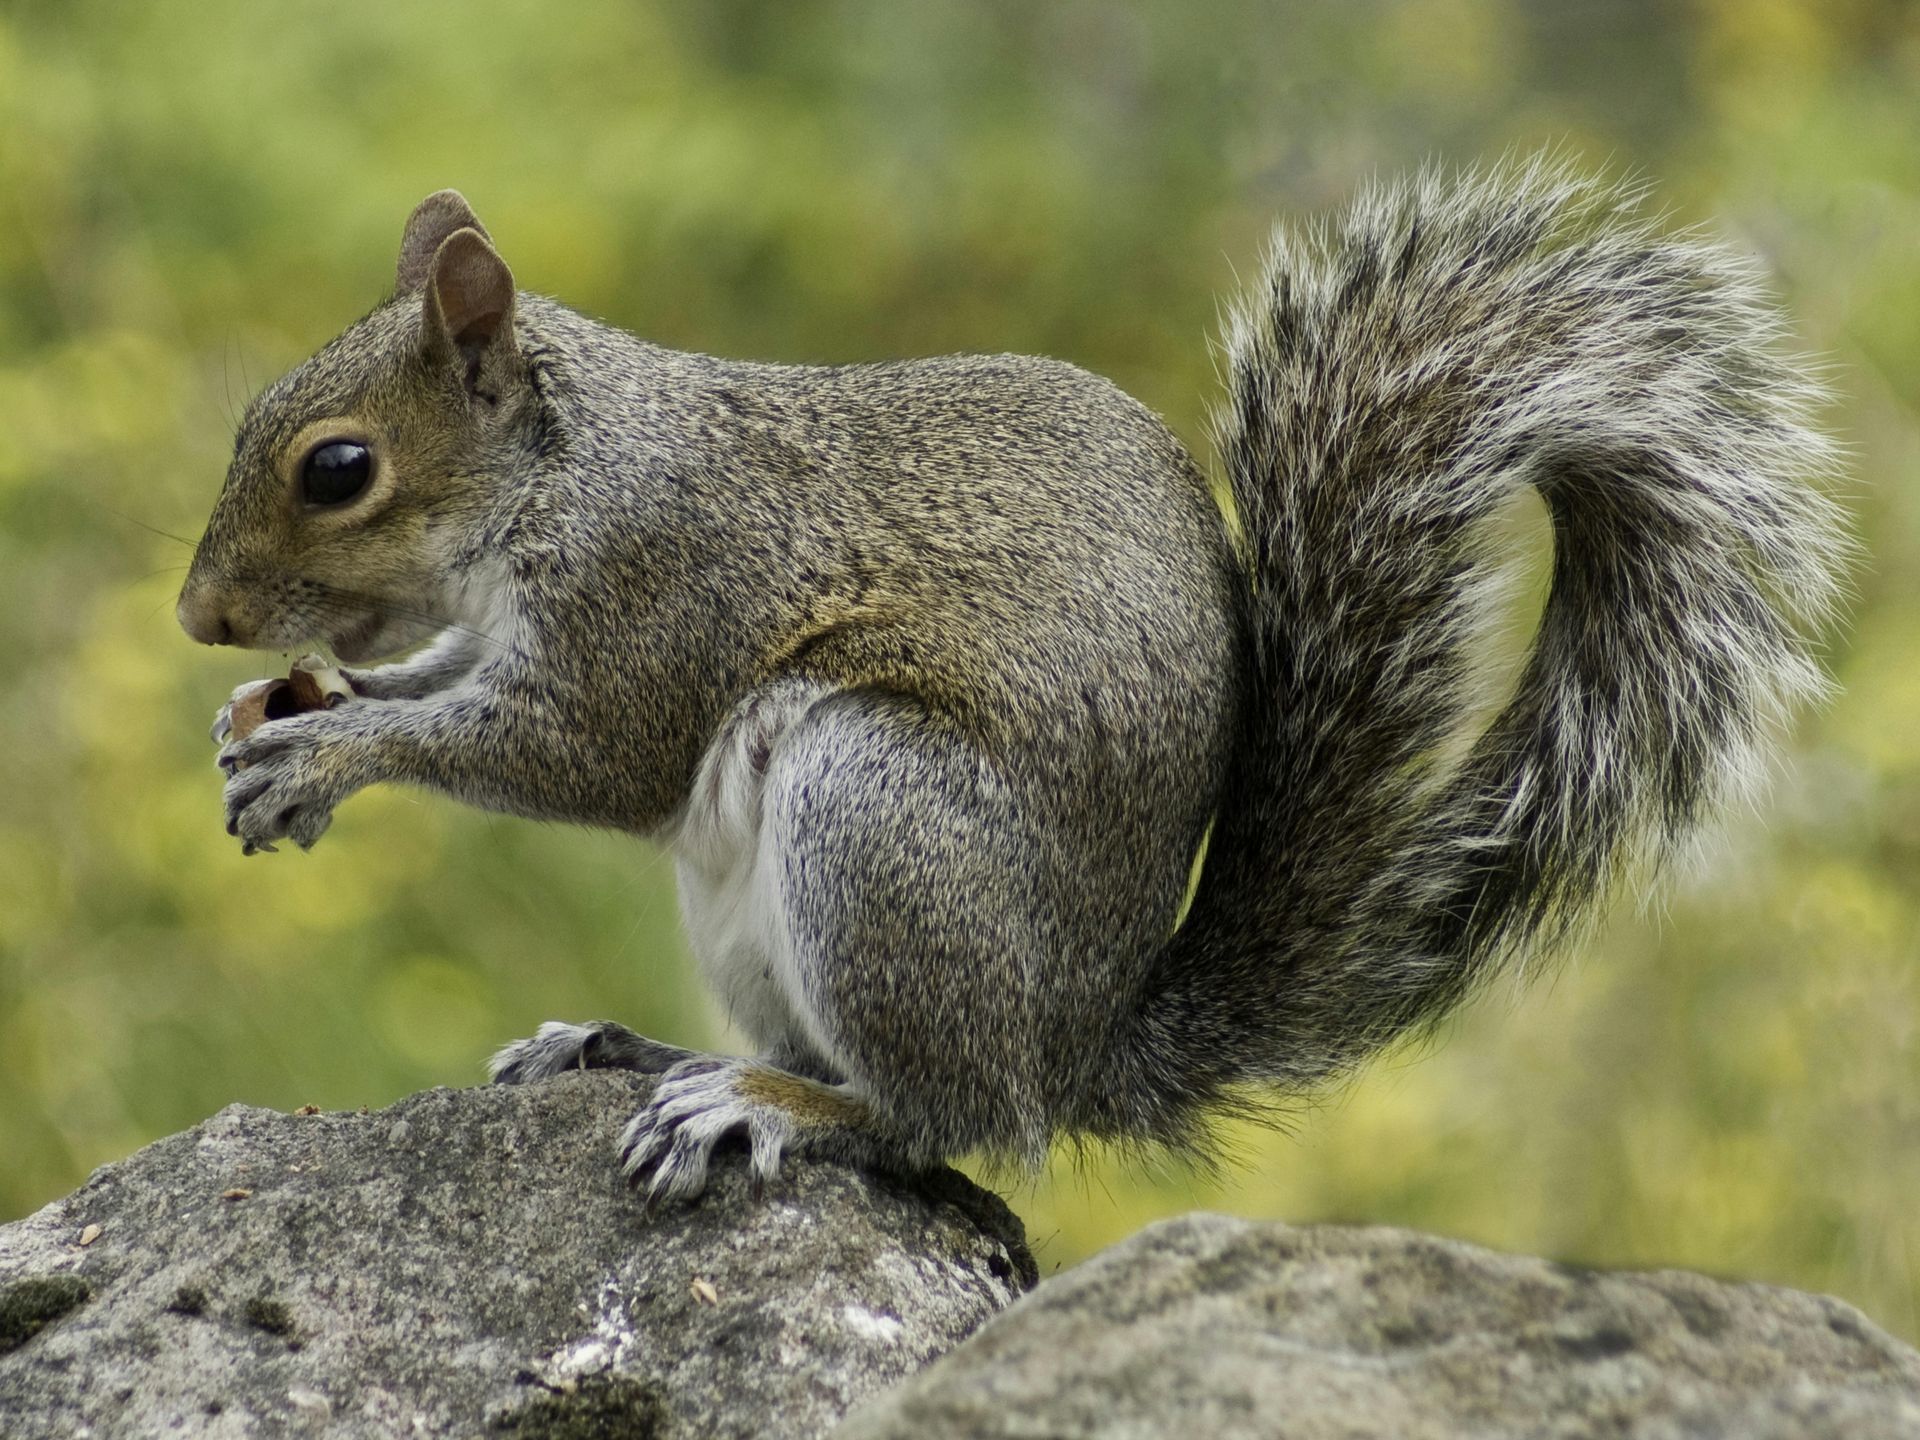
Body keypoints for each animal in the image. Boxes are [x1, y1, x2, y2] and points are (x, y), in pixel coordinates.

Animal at [176, 163, 1843, 1205]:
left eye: (338, 468)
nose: (200, 617)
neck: (562, 469)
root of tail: (1075, 1045)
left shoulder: (661, 592)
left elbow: (578, 750)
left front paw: (328, 755)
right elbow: (453, 675)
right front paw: (287, 714)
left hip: (879, 815)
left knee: (943, 1122)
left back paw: (766, 1106)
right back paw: (642, 1050)